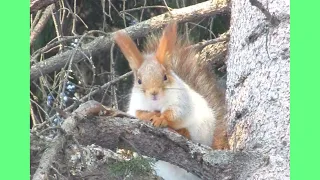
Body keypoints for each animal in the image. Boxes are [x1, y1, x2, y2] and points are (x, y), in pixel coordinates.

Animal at [114, 21, 229, 150]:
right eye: (139, 81)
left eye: (165, 77)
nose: (154, 93)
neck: (156, 103)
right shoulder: (136, 105)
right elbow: (139, 113)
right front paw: (150, 115)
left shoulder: (180, 102)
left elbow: (174, 114)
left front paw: (161, 119)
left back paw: (184, 131)